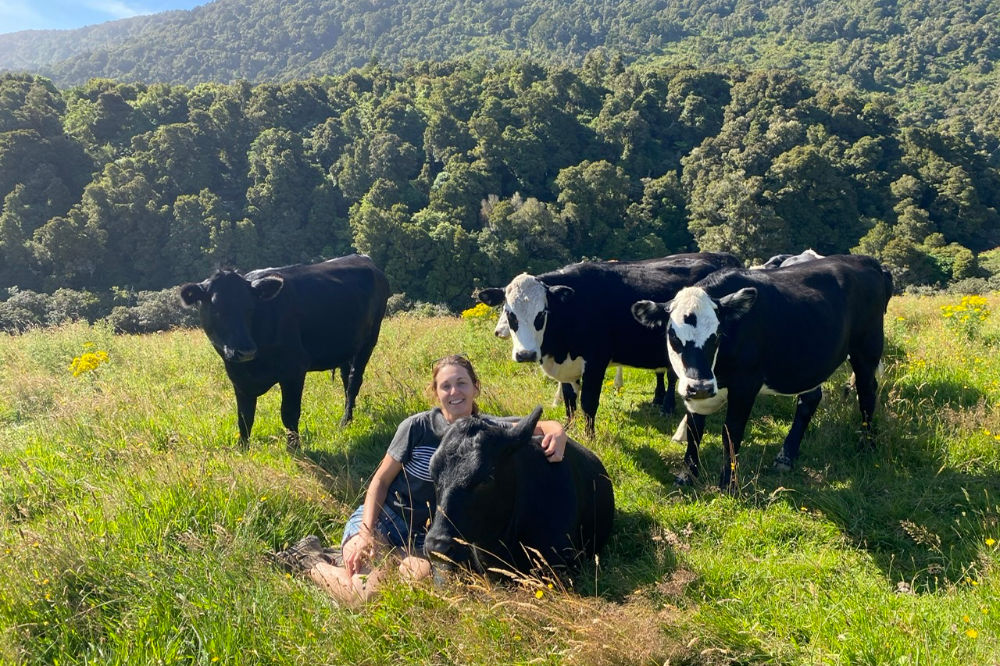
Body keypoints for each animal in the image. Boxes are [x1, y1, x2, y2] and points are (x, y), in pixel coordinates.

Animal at [180, 254, 386, 452]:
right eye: (216, 309)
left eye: (250, 307)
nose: (246, 350)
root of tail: (363, 258)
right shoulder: (238, 378)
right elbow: (244, 417)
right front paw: (243, 449)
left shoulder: (294, 369)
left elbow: (289, 412)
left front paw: (294, 448)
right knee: (345, 378)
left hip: (369, 340)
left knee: (353, 382)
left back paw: (345, 421)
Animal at [476, 252, 744, 434]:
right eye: (509, 313)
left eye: (541, 314)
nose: (525, 354)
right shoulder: (567, 366)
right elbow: (569, 401)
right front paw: (569, 428)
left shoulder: (596, 361)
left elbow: (588, 402)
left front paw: (589, 435)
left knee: (671, 374)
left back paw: (667, 406)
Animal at [632, 253, 892, 488]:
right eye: (673, 336)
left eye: (717, 335)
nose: (701, 386)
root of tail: (865, 260)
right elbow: (694, 430)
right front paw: (687, 475)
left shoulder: (746, 384)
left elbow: (731, 433)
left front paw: (728, 483)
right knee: (809, 400)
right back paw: (786, 457)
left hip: (867, 349)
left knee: (867, 393)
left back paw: (867, 445)